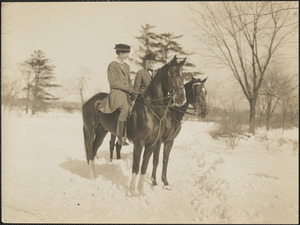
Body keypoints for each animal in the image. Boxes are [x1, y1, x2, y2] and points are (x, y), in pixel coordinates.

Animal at [81, 55, 186, 194]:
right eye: (173, 73)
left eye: (183, 75)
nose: (182, 99)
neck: (151, 110)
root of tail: (89, 101)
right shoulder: (139, 143)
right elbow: (136, 166)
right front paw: (132, 190)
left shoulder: (152, 144)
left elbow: (144, 166)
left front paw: (141, 191)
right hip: (89, 130)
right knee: (89, 152)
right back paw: (92, 177)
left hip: (101, 133)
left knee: (93, 151)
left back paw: (95, 176)